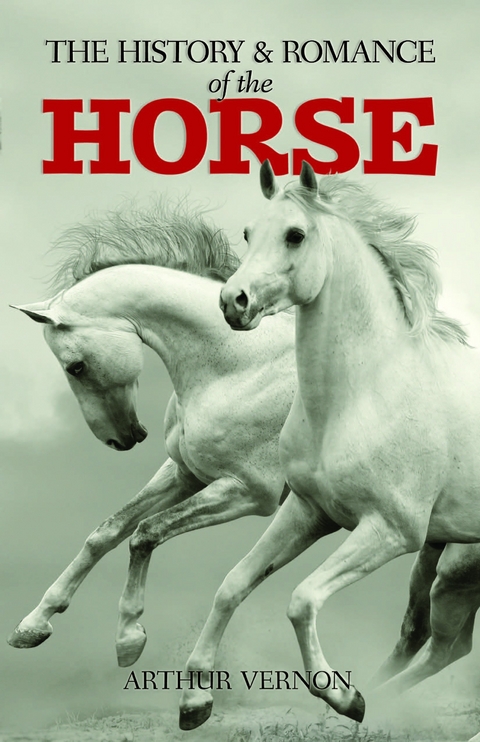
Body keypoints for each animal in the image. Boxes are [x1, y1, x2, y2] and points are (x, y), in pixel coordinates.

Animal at [7, 201, 297, 669]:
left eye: (76, 367)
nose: (122, 438)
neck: (243, 365)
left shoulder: (250, 492)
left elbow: (145, 533)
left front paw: (129, 637)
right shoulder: (186, 474)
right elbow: (106, 531)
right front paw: (34, 623)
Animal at [177, 160, 480, 730]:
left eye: (295, 235)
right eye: (248, 232)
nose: (232, 301)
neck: (359, 396)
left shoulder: (389, 530)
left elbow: (301, 600)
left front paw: (343, 696)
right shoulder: (308, 511)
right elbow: (233, 584)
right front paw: (194, 701)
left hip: (452, 568)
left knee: (443, 647)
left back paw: (376, 700)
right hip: (447, 568)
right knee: (436, 643)